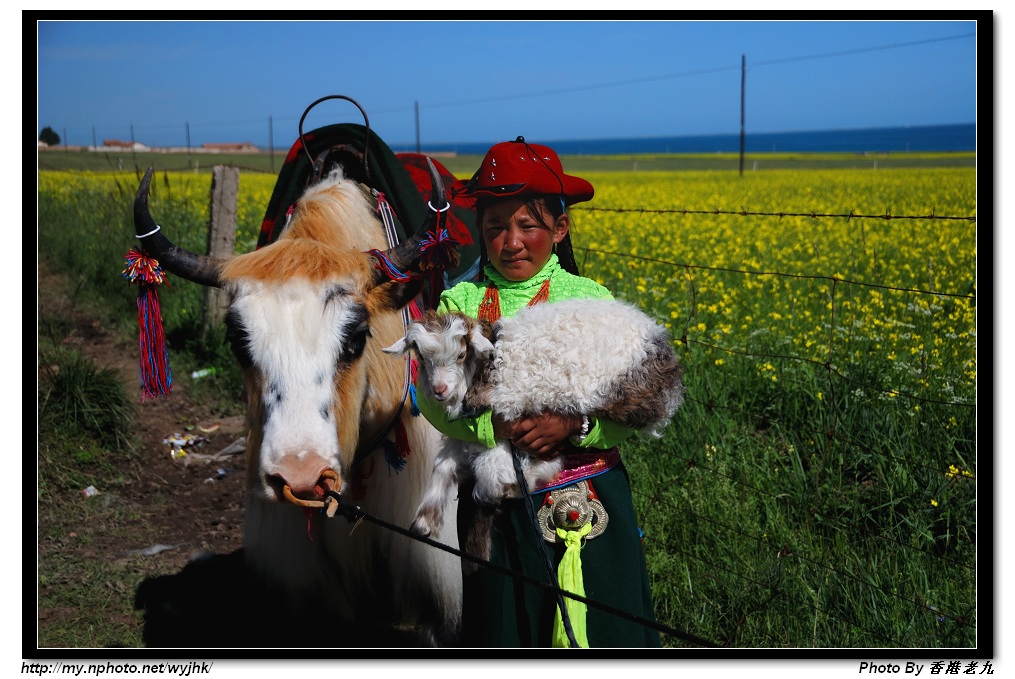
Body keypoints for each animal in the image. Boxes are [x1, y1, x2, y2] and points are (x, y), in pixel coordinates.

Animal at [383, 298, 686, 552]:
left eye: (460, 354)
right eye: (422, 358)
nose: (440, 390)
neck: (483, 368)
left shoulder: (508, 426)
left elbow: (490, 477)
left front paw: (516, 485)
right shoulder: (470, 438)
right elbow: (444, 466)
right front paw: (425, 522)